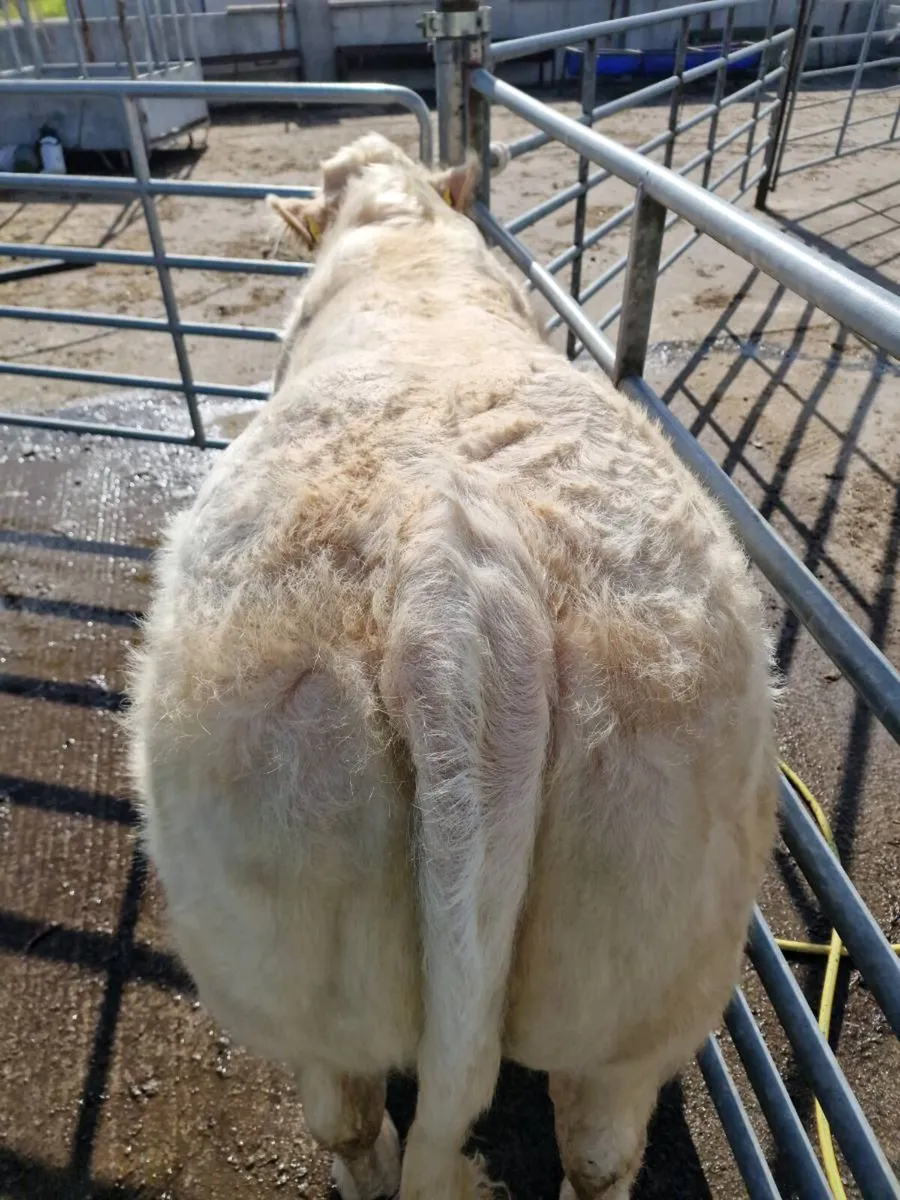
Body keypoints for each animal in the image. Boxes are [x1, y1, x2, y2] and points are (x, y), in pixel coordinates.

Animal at [127, 132, 777, 1200]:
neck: (403, 236)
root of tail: (459, 587)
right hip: (633, 972)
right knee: (596, 1151)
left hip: (300, 965)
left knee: (349, 1120)